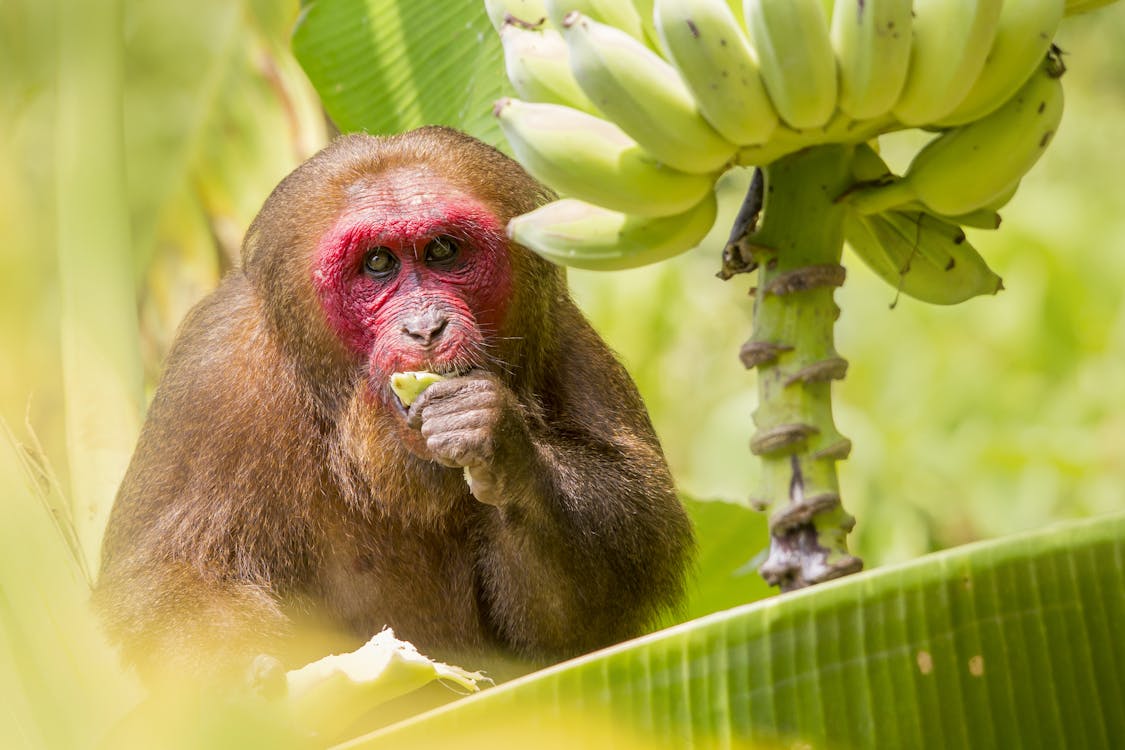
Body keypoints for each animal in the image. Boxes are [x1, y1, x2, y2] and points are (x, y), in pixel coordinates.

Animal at [94, 125, 693, 688]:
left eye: (444, 251)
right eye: (378, 263)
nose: (426, 327)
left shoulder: (562, 335)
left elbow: (595, 596)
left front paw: (498, 442)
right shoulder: (214, 373)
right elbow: (172, 574)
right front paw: (234, 685)